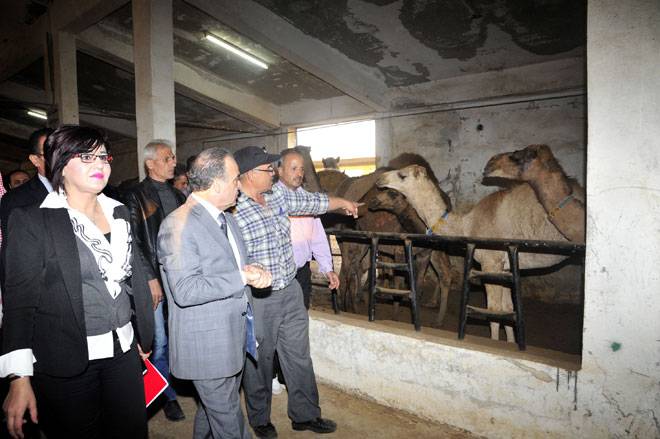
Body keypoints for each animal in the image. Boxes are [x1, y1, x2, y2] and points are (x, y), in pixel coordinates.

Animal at [378, 165, 568, 344]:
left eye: (402, 175)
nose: (380, 178)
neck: (466, 225)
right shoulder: (505, 266)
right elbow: (507, 309)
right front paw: (510, 344)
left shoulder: (491, 262)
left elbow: (494, 311)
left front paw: (495, 345)